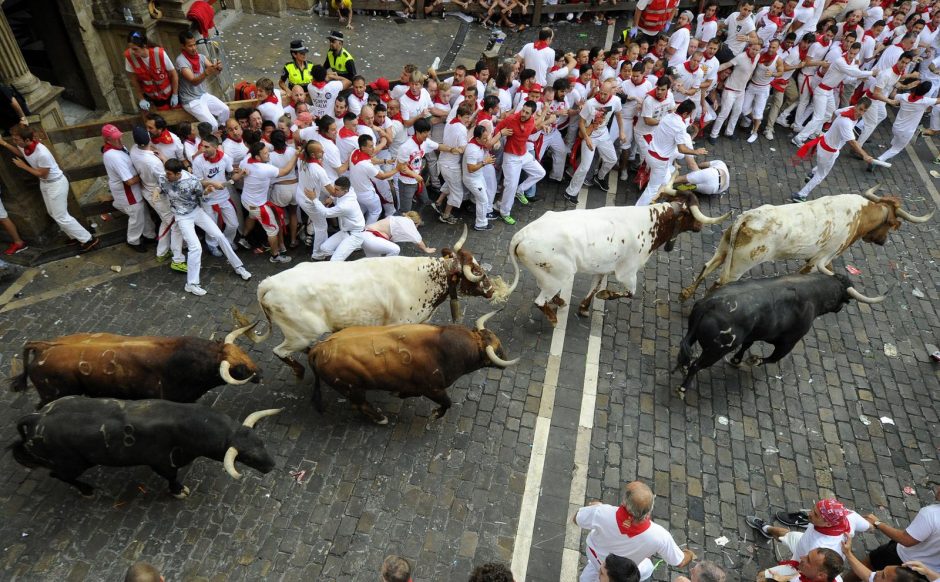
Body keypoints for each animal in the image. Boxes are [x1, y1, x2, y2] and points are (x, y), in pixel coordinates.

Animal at [10, 400, 280, 500]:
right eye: (247, 456)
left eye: (262, 442)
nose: (271, 465)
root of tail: (35, 418)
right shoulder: (161, 462)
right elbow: (171, 477)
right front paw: (178, 491)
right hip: (73, 463)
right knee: (59, 474)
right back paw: (86, 490)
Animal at [306, 310, 516, 424]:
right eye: (497, 351)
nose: (505, 360)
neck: (442, 347)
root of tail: (319, 348)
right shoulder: (434, 389)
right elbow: (447, 403)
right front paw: (435, 415)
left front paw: (399, 394)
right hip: (353, 389)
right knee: (360, 405)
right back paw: (381, 418)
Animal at [676, 274, 880, 392]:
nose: (840, 308)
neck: (814, 292)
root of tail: (711, 303)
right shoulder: (788, 342)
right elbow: (773, 358)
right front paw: (753, 360)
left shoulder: (755, 333)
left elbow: (747, 345)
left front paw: (737, 360)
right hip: (716, 350)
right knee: (696, 365)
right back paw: (683, 388)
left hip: (693, 336)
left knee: (685, 352)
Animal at [684, 190, 932, 304]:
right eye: (890, 225)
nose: (883, 241)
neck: (859, 215)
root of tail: (748, 217)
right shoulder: (818, 261)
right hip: (740, 264)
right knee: (719, 282)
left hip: (725, 248)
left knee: (707, 266)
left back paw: (685, 295)